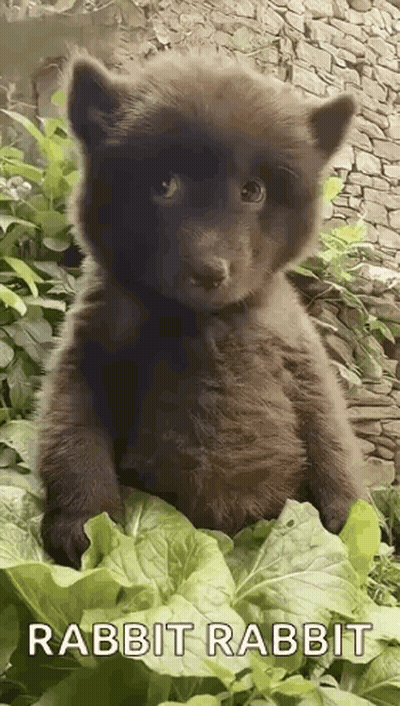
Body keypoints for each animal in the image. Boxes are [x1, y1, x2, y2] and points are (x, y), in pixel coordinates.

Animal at [36, 49, 365, 568]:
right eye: (164, 184)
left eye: (253, 190)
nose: (210, 272)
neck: (203, 320)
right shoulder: (89, 348)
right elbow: (72, 433)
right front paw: (83, 526)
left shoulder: (301, 355)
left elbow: (330, 433)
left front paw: (348, 525)